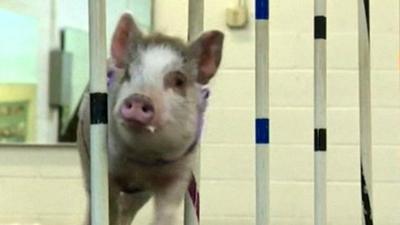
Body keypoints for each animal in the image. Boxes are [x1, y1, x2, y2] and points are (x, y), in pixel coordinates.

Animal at [76, 12, 223, 225]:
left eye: (178, 81)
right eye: (128, 73)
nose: (139, 98)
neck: (143, 160)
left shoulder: (179, 174)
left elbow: (167, 212)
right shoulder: (106, 170)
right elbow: (109, 205)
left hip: (140, 195)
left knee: (127, 210)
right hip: (86, 158)